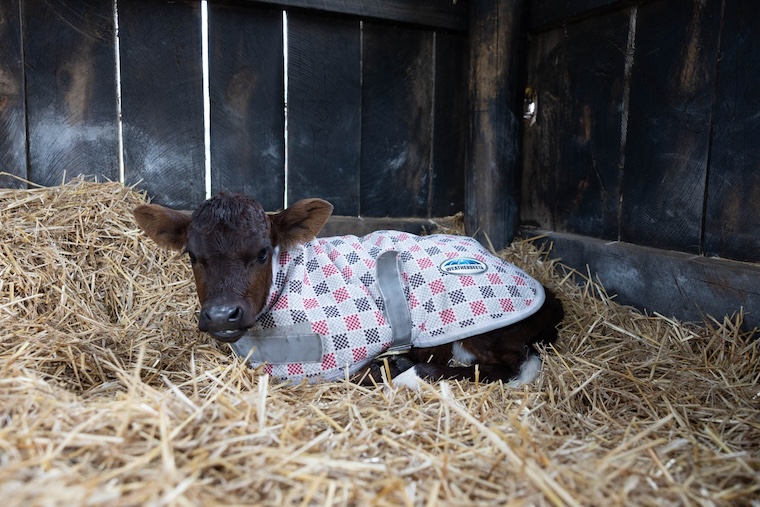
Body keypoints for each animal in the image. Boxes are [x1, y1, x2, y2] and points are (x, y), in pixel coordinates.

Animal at [133, 192, 563, 389]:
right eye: (192, 255)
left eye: (261, 252)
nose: (222, 314)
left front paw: (390, 368)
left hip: (479, 329)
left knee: (510, 365)